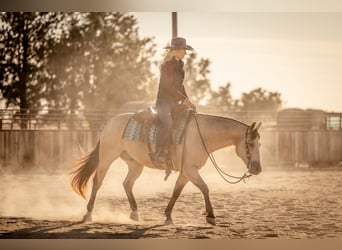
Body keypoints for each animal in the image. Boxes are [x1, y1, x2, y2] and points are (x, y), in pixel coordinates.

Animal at [69, 108, 262, 226]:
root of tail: (109, 123)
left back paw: (135, 213)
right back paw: (88, 214)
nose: (257, 169)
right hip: (107, 157)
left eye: (260, 144)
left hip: (135, 164)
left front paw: (168, 216)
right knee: (97, 182)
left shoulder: (186, 171)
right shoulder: (190, 170)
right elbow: (205, 188)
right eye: (251, 143)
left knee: (127, 183)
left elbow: (177, 191)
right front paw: (211, 216)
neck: (202, 135)